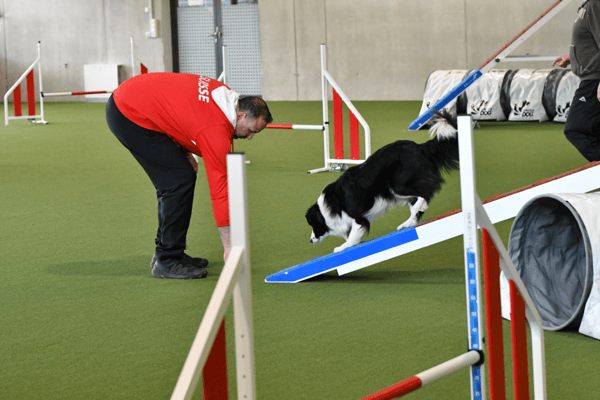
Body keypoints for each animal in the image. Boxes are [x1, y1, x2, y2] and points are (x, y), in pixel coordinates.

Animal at [305, 111, 458, 253]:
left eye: (313, 225)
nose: (310, 240)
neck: (330, 206)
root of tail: (419, 147)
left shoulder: (358, 216)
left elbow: (353, 234)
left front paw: (342, 247)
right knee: (417, 203)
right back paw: (406, 224)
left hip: (398, 184)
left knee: (426, 192)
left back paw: (419, 208)